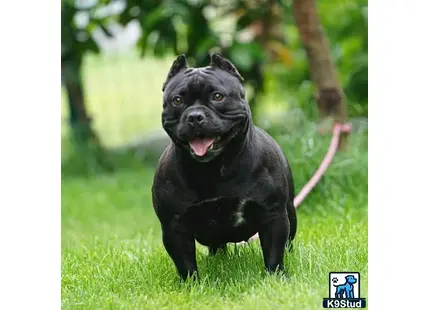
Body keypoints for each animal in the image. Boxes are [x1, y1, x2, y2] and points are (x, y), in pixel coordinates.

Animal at [150, 54, 296, 280]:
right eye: (177, 100)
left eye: (218, 97)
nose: (195, 116)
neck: (213, 168)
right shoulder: (174, 226)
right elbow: (185, 262)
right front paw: (191, 283)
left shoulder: (273, 216)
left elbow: (274, 251)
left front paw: (276, 276)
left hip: (290, 211)